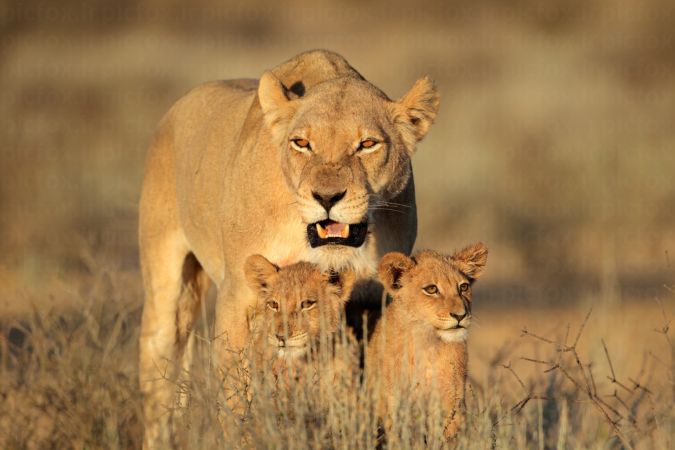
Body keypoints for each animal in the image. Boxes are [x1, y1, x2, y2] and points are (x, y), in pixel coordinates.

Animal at [138, 49, 439, 448]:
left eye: (367, 144)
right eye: (302, 143)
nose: (327, 198)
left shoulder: (372, 304)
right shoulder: (238, 296)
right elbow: (235, 395)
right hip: (166, 285)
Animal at [366, 243, 488, 441]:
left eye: (463, 287)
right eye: (431, 289)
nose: (460, 315)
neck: (427, 345)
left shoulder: (452, 402)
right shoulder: (394, 403)